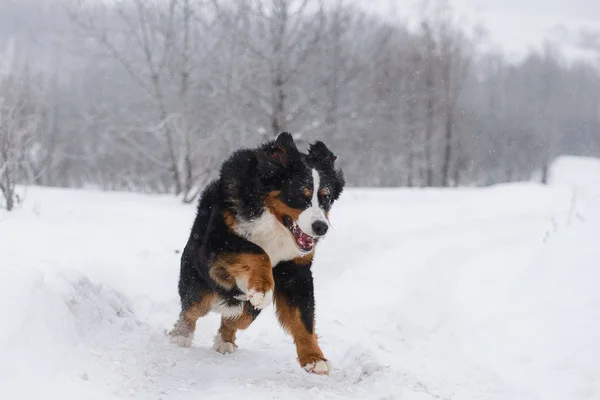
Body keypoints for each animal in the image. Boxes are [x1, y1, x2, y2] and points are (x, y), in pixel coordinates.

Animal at [170, 131, 346, 376]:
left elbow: (304, 317)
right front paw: (261, 288)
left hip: (247, 309)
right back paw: (180, 336)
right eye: (300, 196)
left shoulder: (296, 271)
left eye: (326, 197)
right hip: (199, 287)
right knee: (191, 310)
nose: (321, 227)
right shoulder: (217, 243)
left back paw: (225, 340)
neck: (272, 219)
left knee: (237, 318)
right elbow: (257, 252)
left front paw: (314, 358)